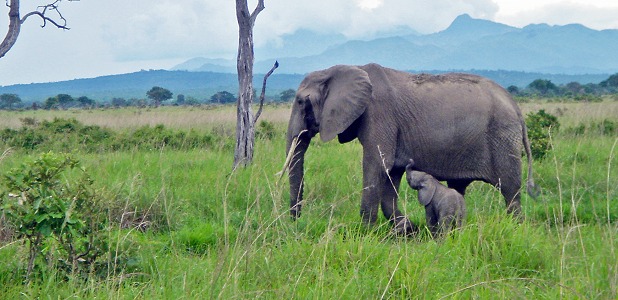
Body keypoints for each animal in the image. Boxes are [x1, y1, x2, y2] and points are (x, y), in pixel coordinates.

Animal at [284, 62, 536, 233]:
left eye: (300, 102)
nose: (296, 221)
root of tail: (516, 107)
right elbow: (391, 174)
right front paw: (407, 229)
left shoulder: (380, 114)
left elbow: (376, 165)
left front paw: (365, 233)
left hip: (503, 137)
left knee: (510, 190)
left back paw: (516, 228)